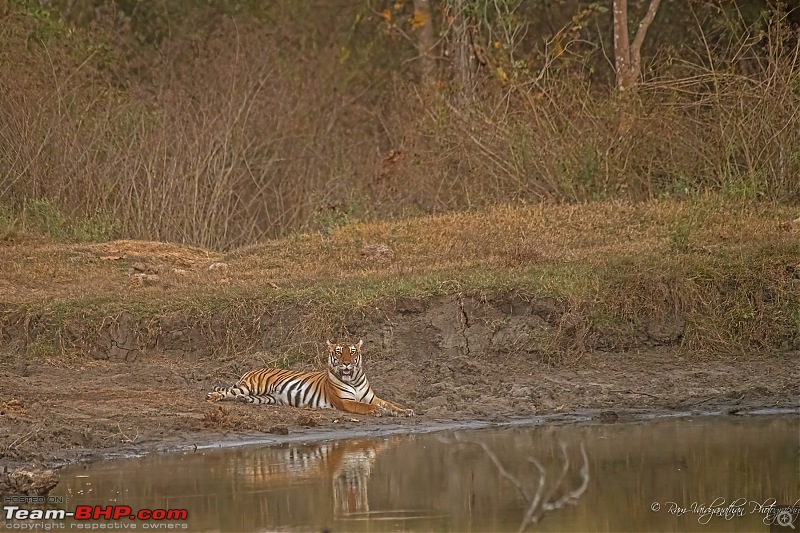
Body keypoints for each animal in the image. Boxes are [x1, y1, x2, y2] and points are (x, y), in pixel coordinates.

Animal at [206, 338, 412, 418]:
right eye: (339, 352)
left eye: (352, 352)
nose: (346, 363)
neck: (352, 378)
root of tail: (251, 370)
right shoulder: (345, 401)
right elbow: (362, 406)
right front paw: (377, 411)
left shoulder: (372, 397)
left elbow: (390, 404)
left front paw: (405, 411)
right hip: (253, 386)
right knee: (228, 391)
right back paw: (212, 396)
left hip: (268, 397)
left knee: (244, 396)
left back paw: (243, 400)